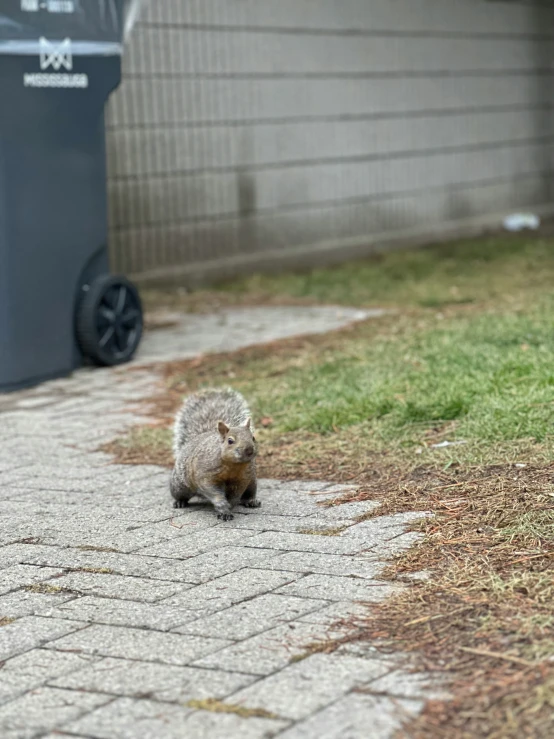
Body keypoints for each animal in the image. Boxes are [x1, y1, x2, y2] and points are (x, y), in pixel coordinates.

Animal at [170, 388, 258, 520]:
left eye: (253, 438)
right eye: (230, 441)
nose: (249, 450)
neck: (233, 466)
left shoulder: (244, 477)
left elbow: (236, 494)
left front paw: (229, 506)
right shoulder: (204, 473)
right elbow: (210, 489)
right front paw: (221, 504)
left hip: (253, 480)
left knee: (250, 491)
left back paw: (251, 500)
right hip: (179, 485)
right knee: (179, 494)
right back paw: (180, 502)